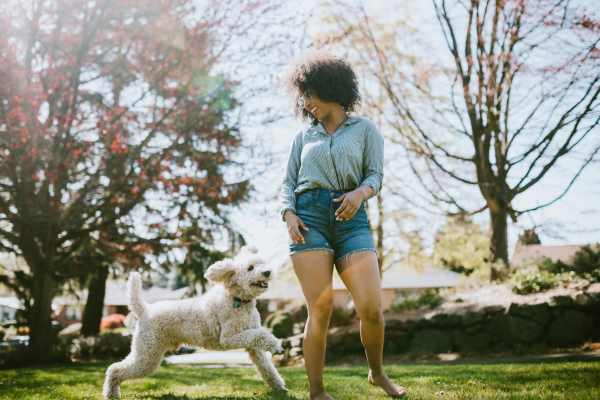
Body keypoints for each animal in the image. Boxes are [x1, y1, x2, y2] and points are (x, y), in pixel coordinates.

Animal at [102, 245, 286, 398]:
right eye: (250, 268)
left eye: (262, 263)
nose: (267, 272)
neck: (238, 300)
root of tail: (145, 309)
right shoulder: (229, 338)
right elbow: (260, 334)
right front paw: (276, 345)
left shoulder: (253, 347)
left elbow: (266, 367)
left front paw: (279, 387)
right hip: (147, 354)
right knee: (114, 369)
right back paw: (111, 394)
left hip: (147, 352)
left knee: (116, 368)